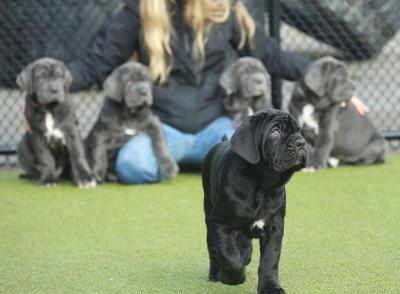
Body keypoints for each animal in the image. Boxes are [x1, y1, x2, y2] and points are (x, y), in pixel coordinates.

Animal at [16, 56, 96, 188]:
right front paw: (48, 180)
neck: (49, 109)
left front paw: (85, 178)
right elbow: (45, 158)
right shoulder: (37, 136)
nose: (54, 89)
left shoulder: (72, 132)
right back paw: (37, 177)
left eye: (59, 76)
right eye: (40, 78)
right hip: (22, 146)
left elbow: (77, 154)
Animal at [203, 108, 310, 294]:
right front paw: (231, 277)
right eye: (275, 132)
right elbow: (229, 255)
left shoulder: (274, 228)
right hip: (208, 214)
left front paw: (271, 287)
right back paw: (215, 273)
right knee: (213, 249)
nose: (300, 142)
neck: (262, 186)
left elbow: (269, 261)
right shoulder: (219, 223)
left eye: (298, 130)